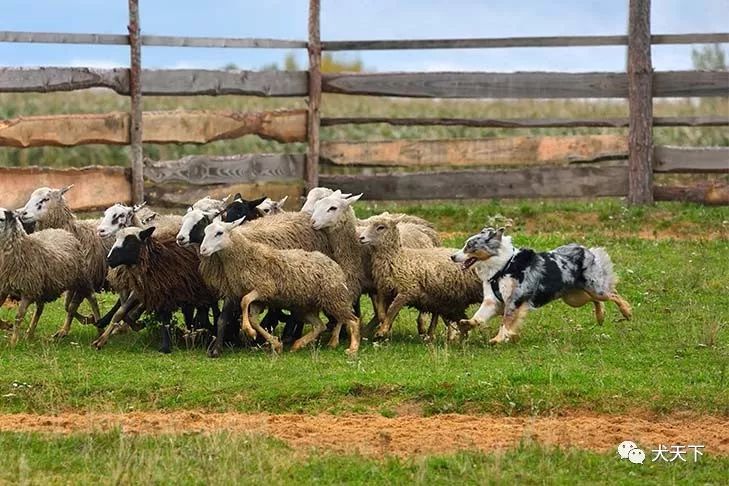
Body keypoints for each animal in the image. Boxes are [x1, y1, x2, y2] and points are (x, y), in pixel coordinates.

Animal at [0, 209, 94, 346]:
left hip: (80, 278)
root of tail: (60, 230)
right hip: (44, 287)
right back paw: (30, 334)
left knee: (86, 300)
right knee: (41, 309)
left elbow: (18, 317)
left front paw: (13, 342)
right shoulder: (4, 288)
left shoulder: (28, 290)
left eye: (2, 219)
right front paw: (6, 326)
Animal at [17, 184, 109, 336]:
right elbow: (67, 306)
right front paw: (70, 327)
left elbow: (72, 306)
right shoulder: (72, 279)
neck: (77, 234)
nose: (22, 214)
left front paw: (91, 323)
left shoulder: (84, 279)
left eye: (46, 199)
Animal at [200, 218, 360, 356]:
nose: (203, 250)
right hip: (306, 308)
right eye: (205, 231)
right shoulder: (260, 299)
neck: (246, 256)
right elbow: (253, 318)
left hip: (333, 298)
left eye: (219, 233)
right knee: (320, 325)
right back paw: (298, 344)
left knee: (353, 320)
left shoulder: (265, 288)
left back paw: (352, 348)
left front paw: (249, 331)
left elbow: (244, 301)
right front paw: (275, 344)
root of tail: (335, 265)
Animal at [446, 227, 628, 344]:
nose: (452, 257)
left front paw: (499, 338)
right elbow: (479, 316)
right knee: (596, 300)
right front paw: (468, 323)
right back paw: (600, 316)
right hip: (574, 298)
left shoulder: (514, 300)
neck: (503, 266)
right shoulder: (492, 301)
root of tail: (585, 249)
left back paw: (627, 312)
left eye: (469, 246)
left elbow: (505, 321)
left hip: (595, 289)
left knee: (612, 294)